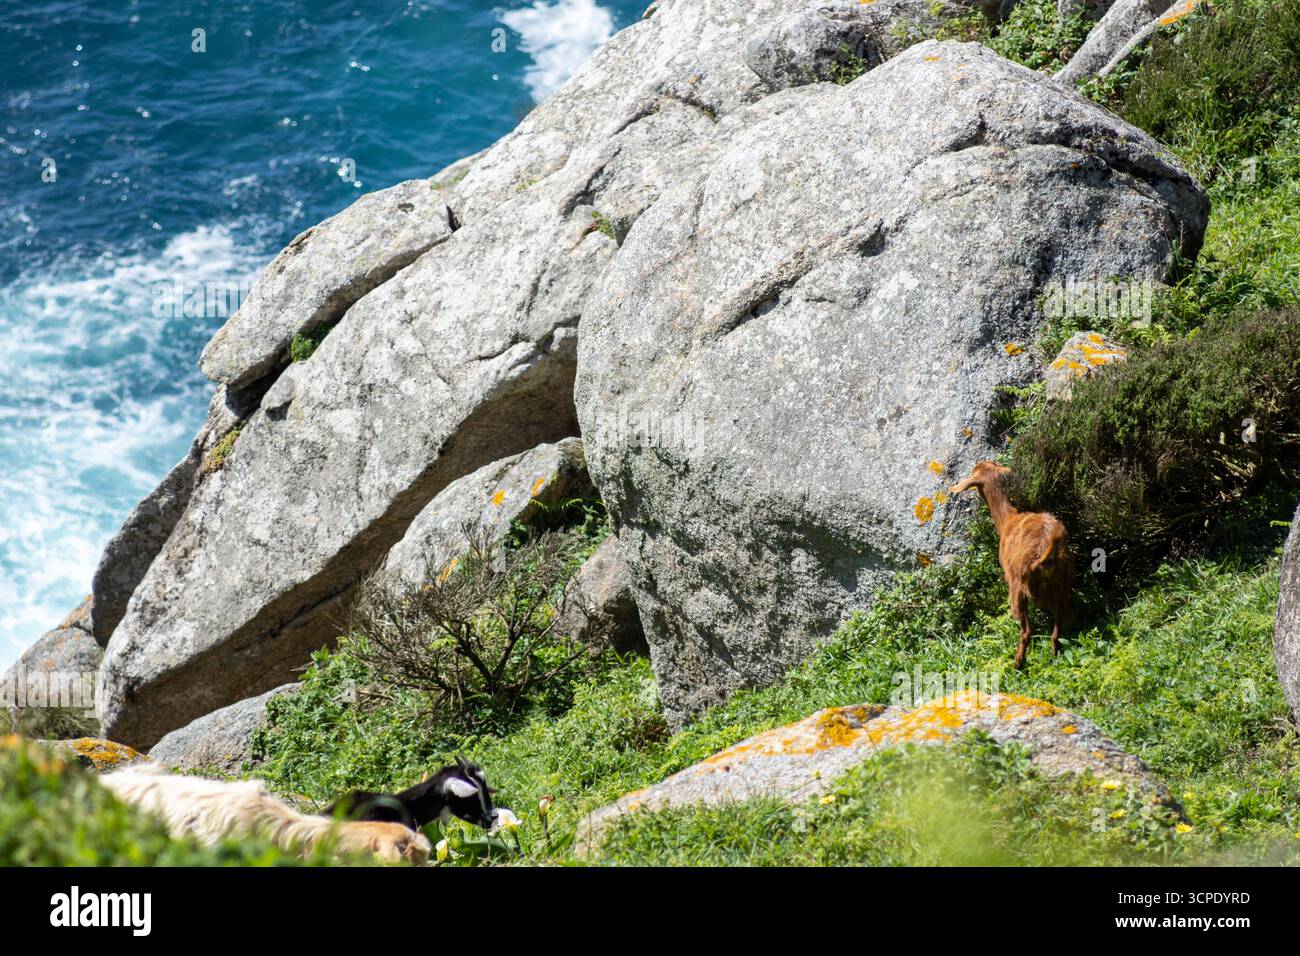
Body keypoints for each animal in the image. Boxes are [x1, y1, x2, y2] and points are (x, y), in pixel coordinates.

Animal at [949, 461, 1073, 668]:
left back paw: (1016, 664)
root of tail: (1048, 544)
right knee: (1058, 623)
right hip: (1061, 581)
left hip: (1019, 585)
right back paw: (1054, 658)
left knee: (1026, 631)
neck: (1007, 519)